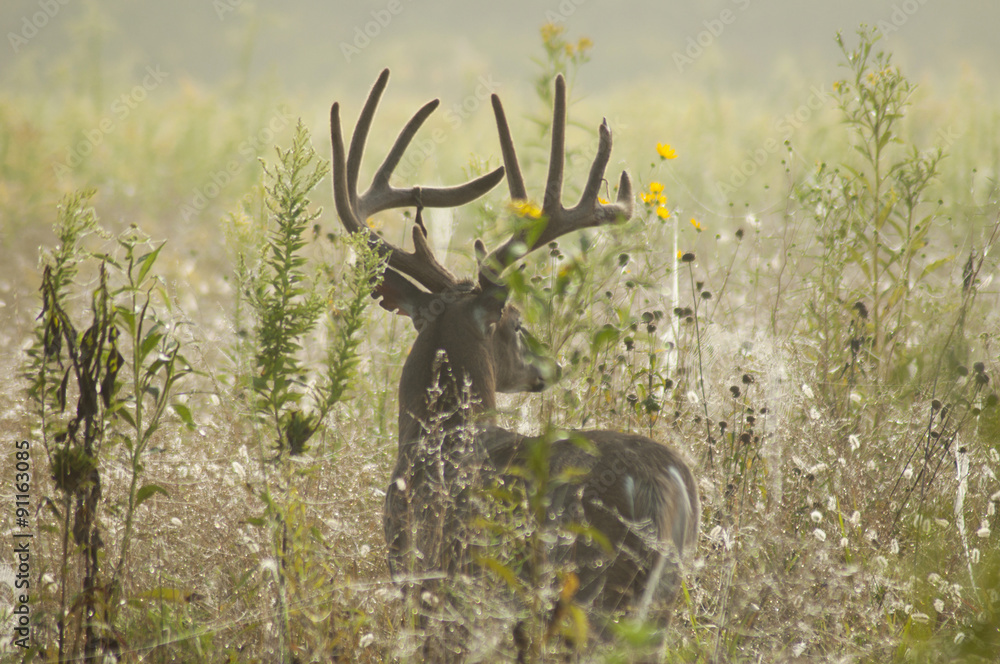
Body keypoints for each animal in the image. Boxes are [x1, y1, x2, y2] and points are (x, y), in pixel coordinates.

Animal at [332, 70, 700, 652]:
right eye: (520, 324)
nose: (549, 367)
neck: (438, 434)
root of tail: (669, 480)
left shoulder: (426, 580)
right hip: (657, 607)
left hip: (594, 596)